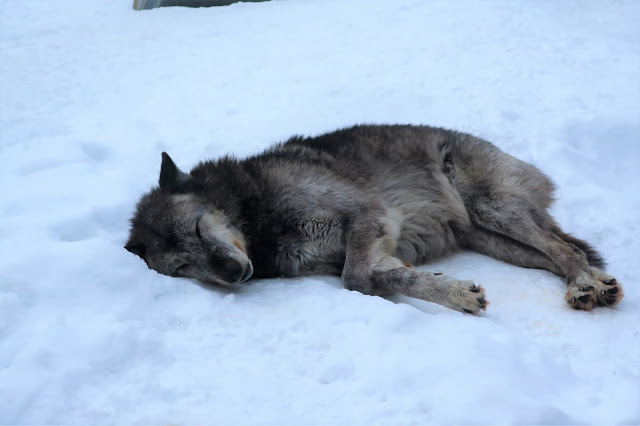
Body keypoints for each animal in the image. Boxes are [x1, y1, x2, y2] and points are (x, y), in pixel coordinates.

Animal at [126, 123, 624, 312]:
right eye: (183, 267)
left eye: (196, 228)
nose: (231, 273)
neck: (259, 213)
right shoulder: (351, 248)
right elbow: (371, 276)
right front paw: (450, 289)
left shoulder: (365, 214)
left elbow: (356, 277)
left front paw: (451, 291)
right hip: (495, 240)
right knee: (561, 252)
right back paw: (593, 282)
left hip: (493, 209)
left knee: (563, 247)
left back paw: (584, 285)